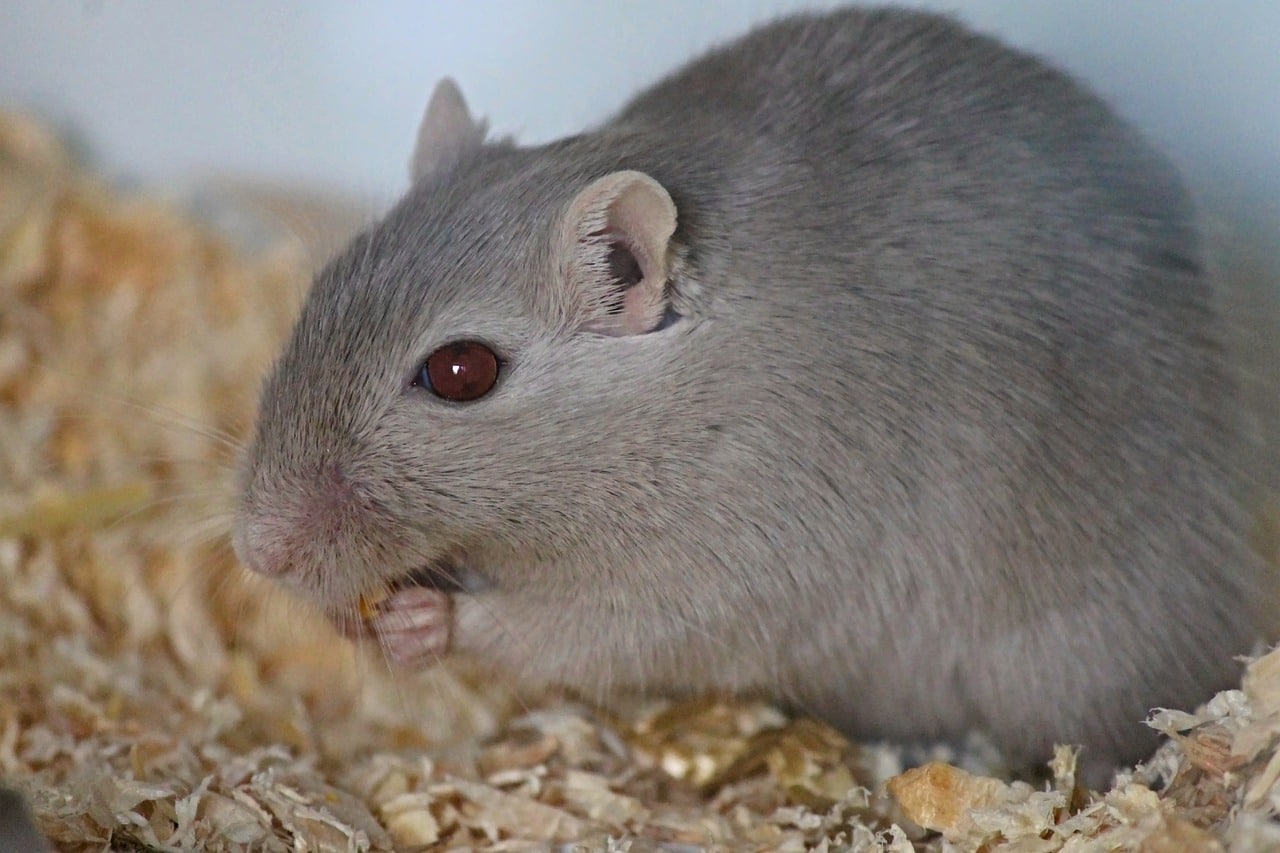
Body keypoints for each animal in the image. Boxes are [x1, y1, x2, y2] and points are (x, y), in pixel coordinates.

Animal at [232, 5, 1273, 783]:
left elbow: (567, 631)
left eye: (460, 373)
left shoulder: (719, 562)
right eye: (321, 288)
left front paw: (420, 622)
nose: (256, 553)